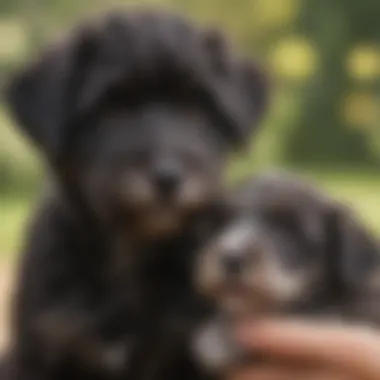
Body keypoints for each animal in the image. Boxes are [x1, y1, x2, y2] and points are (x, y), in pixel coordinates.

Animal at [4, 8, 268, 380]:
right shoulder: (41, 350)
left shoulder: (188, 346)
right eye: (110, 110)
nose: (168, 178)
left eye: (197, 110)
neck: (132, 253)